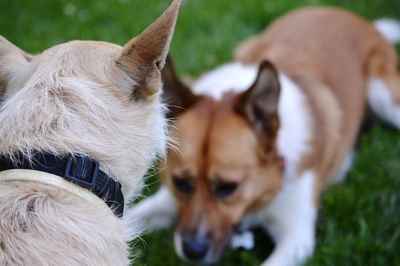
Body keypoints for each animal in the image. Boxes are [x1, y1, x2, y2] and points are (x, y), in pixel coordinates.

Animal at [126, 7, 400, 266]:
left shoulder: (297, 238)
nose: (193, 251)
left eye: (228, 187)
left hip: (384, 97)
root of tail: (354, 18)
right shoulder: (167, 200)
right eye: (180, 182)